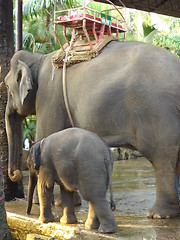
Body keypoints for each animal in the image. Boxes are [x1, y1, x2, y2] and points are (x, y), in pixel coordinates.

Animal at [4, 40, 180, 219]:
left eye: (6, 86)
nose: (16, 174)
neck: (39, 58)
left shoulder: (48, 97)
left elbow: (45, 137)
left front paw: (39, 203)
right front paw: (68, 203)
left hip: (158, 114)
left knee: (162, 159)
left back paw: (158, 215)